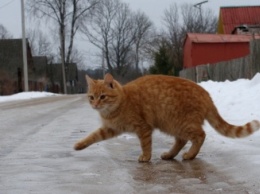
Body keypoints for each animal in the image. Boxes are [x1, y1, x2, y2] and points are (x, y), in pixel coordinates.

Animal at [73, 73, 260, 161]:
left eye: (103, 96)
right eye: (91, 97)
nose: (95, 105)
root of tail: (206, 93)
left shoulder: (143, 128)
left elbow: (145, 145)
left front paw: (146, 157)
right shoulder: (110, 129)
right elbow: (93, 136)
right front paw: (79, 145)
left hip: (179, 123)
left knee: (200, 136)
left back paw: (190, 155)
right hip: (173, 125)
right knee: (182, 140)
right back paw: (170, 155)